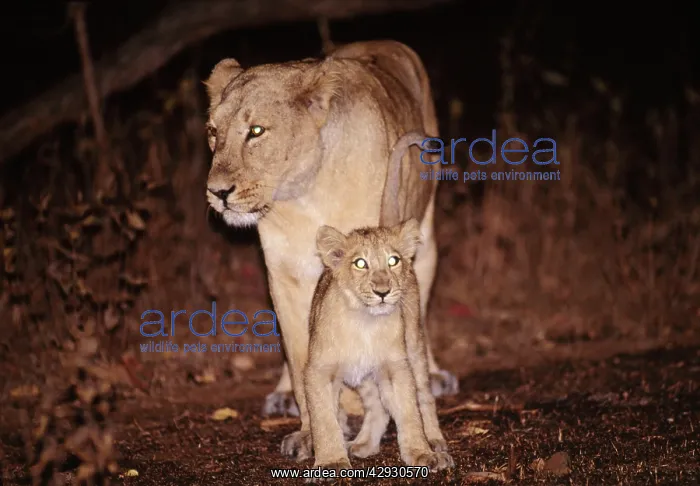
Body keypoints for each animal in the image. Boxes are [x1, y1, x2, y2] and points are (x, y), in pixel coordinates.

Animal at [203, 40, 458, 459]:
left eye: (256, 131)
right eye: (212, 132)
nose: (217, 193)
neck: (305, 193)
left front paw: (356, 414)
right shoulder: (284, 277)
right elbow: (302, 357)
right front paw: (315, 432)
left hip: (426, 239)